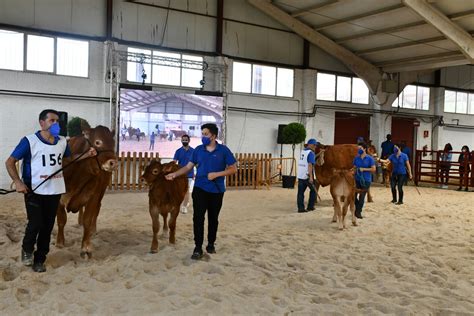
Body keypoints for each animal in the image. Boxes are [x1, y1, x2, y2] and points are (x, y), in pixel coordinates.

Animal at [55, 126, 117, 260]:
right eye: (98, 142)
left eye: (113, 143)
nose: (113, 163)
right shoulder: (58, 197)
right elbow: (61, 220)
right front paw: (60, 242)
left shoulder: (93, 195)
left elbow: (88, 220)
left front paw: (86, 248)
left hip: (101, 192)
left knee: (97, 209)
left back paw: (93, 230)